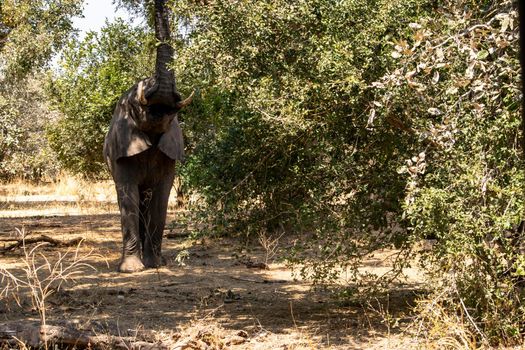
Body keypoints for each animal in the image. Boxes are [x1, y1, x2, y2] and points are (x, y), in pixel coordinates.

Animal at [103, 0, 191, 274]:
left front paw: (156, 264)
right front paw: (131, 270)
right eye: (135, 98)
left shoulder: (170, 151)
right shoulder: (122, 148)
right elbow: (127, 197)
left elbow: (161, 199)